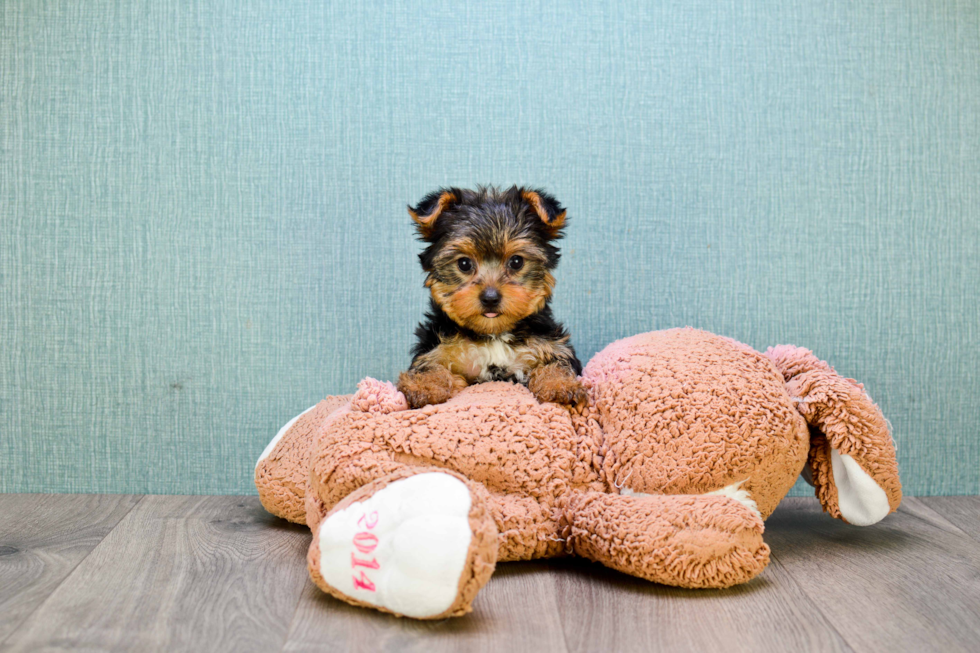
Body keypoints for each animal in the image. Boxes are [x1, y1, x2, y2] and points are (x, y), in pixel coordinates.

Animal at [396, 185, 584, 408]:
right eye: (464, 264)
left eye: (516, 262)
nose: (490, 298)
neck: (493, 334)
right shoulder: (437, 349)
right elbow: (429, 366)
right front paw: (426, 386)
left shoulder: (549, 345)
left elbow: (558, 363)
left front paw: (559, 384)